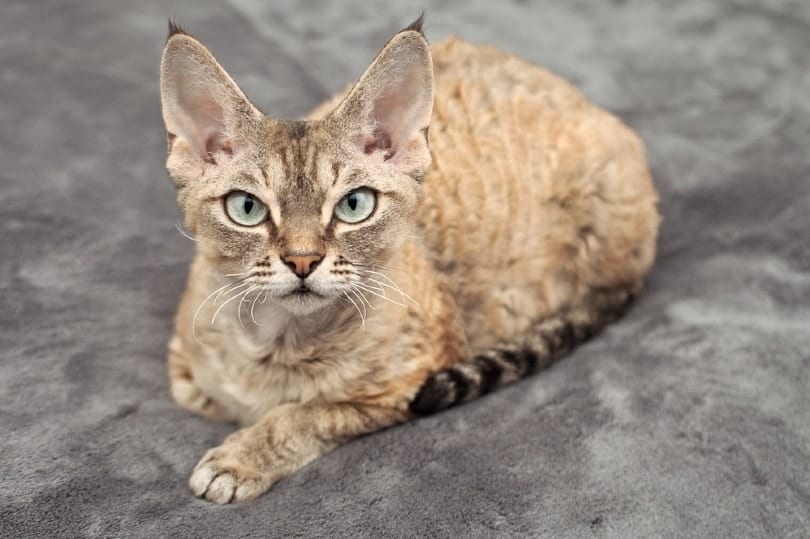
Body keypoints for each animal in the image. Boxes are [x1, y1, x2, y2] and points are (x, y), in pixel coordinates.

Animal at [161, 14, 660, 504]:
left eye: (354, 205)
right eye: (247, 208)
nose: (303, 261)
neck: (278, 343)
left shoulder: (407, 383)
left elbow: (305, 415)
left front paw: (241, 457)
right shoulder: (185, 367)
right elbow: (212, 397)